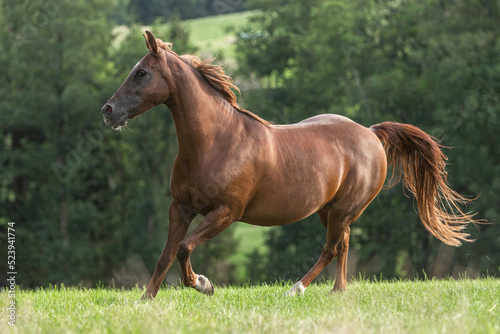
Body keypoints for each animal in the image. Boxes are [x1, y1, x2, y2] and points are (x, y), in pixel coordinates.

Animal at [100, 31, 476, 298]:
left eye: (141, 73)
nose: (108, 111)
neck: (215, 142)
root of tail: (370, 133)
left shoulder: (225, 213)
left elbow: (183, 248)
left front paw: (203, 284)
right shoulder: (180, 208)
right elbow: (166, 254)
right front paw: (146, 300)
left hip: (343, 209)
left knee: (330, 247)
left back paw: (297, 289)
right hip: (329, 210)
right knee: (344, 243)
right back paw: (337, 291)